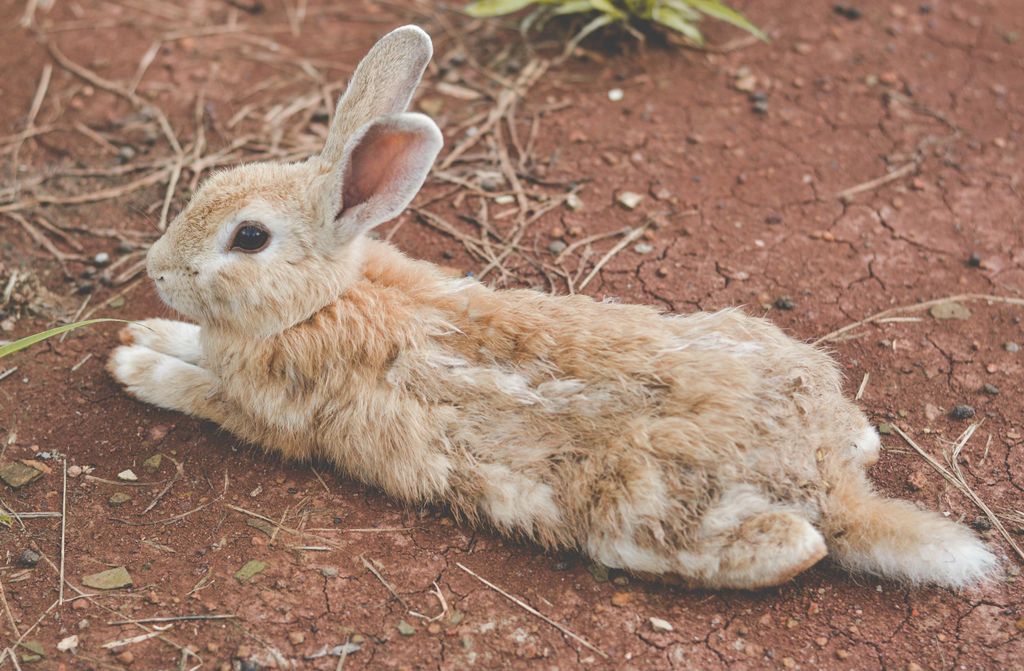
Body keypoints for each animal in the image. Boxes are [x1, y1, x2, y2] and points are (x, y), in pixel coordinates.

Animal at [108, 25, 997, 590]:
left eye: (249, 237)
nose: (157, 268)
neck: (321, 299)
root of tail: (828, 482)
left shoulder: (265, 412)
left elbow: (195, 388)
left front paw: (132, 361)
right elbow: (192, 343)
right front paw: (145, 330)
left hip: (648, 519)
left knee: (795, 548)